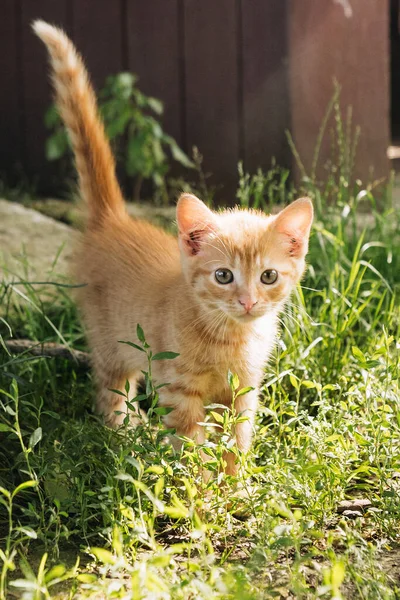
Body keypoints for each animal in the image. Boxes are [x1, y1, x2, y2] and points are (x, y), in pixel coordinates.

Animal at [33, 21, 312, 476]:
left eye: (268, 276)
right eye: (223, 276)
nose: (248, 301)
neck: (230, 338)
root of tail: (115, 220)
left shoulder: (243, 392)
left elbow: (236, 442)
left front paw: (235, 485)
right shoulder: (178, 390)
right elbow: (189, 444)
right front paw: (197, 487)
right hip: (111, 343)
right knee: (110, 391)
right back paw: (124, 437)